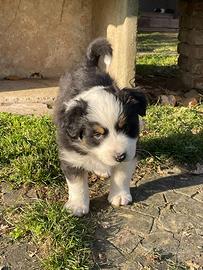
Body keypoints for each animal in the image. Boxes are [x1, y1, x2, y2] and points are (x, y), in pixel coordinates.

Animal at [54, 37, 147, 217]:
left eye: (125, 127)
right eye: (97, 134)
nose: (120, 156)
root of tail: (88, 64)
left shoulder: (131, 150)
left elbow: (121, 176)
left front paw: (119, 196)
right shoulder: (70, 155)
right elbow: (77, 183)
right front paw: (77, 205)